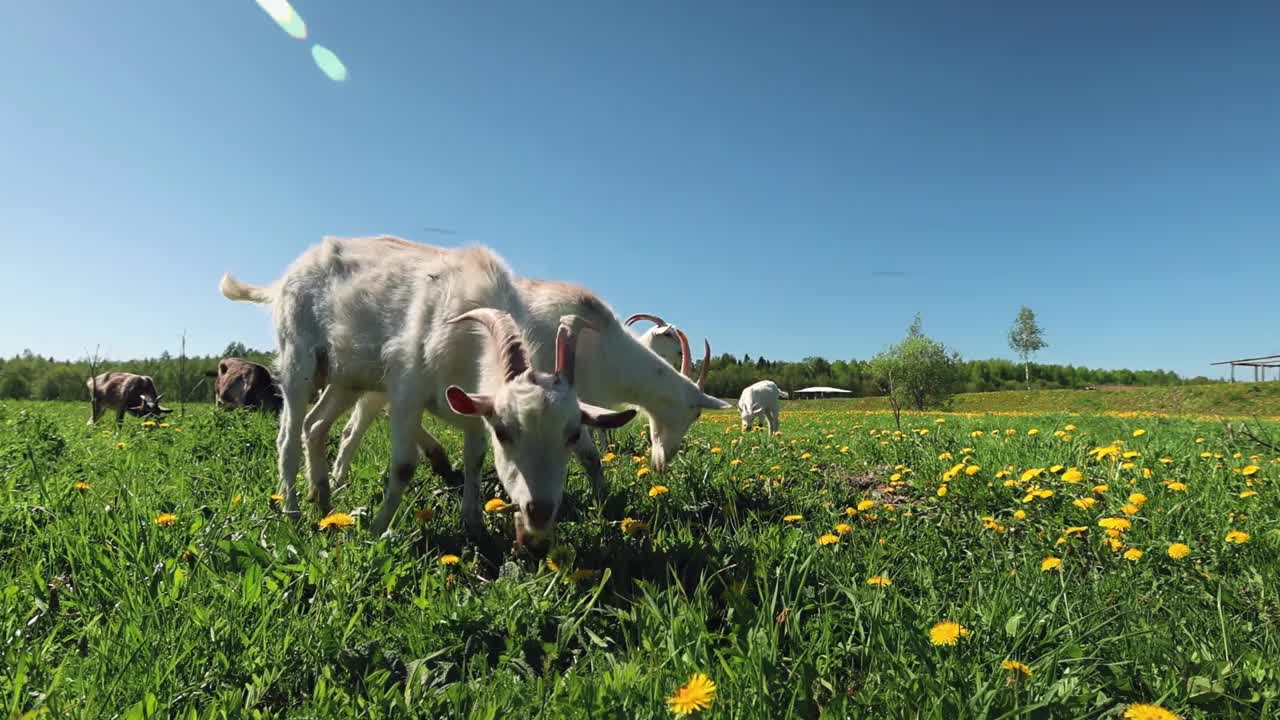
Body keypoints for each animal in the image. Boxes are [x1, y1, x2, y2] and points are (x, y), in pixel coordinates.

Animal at [222, 234, 640, 538]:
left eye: (572, 435)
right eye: (504, 433)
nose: (539, 511)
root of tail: (283, 279)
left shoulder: (474, 404)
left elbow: (474, 460)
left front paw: (473, 523)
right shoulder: (407, 389)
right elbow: (404, 465)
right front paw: (378, 528)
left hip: (346, 378)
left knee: (316, 426)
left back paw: (324, 501)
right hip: (300, 360)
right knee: (289, 436)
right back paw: (293, 512)